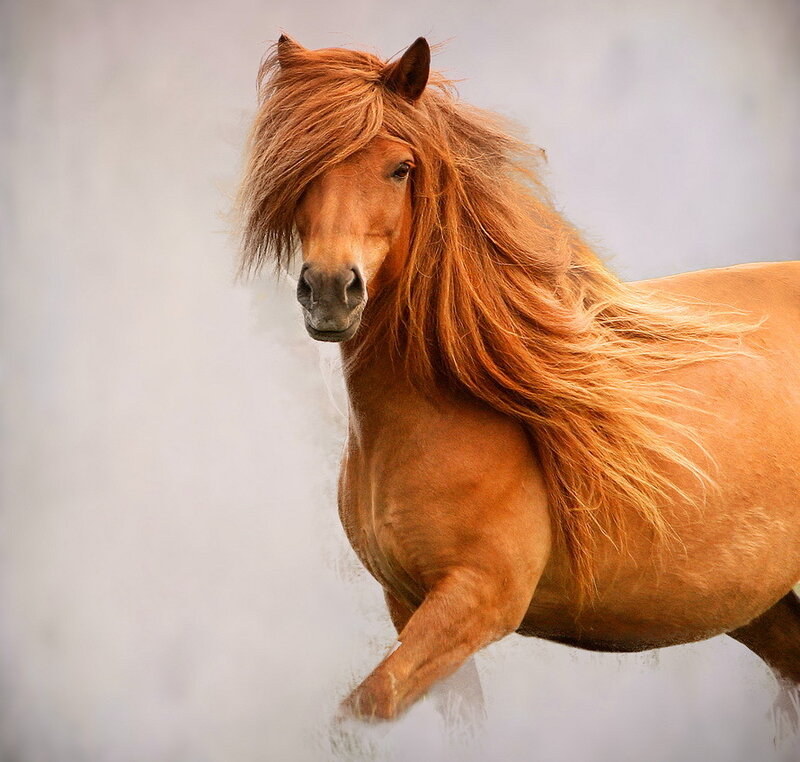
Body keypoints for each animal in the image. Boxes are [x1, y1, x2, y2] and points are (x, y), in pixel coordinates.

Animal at [236, 35, 800, 721]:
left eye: (401, 168)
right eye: (301, 165)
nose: (329, 291)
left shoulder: (477, 602)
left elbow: (367, 705)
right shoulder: (410, 607)